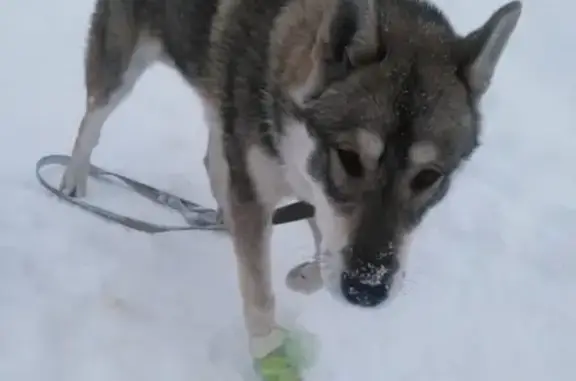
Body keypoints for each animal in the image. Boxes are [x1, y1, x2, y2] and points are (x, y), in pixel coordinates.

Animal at [59, 0, 520, 360]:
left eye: (429, 177)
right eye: (349, 158)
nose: (367, 290)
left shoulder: (314, 193)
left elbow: (320, 258)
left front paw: (302, 277)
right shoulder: (271, 189)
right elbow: (260, 291)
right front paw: (268, 348)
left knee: (212, 160)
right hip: (119, 69)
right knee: (90, 123)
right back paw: (72, 180)